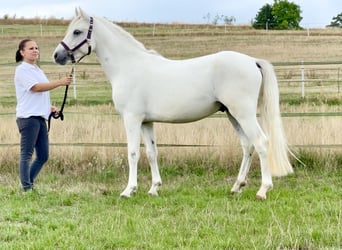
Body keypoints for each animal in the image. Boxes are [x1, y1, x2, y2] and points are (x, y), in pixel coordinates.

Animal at [54, 7, 294, 199]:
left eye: (77, 31)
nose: (57, 56)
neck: (128, 66)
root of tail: (252, 61)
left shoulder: (132, 119)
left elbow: (133, 153)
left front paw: (128, 190)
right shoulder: (146, 122)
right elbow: (152, 153)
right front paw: (154, 188)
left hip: (243, 114)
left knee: (261, 143)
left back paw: (262, 190)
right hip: (232, 114)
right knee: (247, 145)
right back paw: (237, 186)